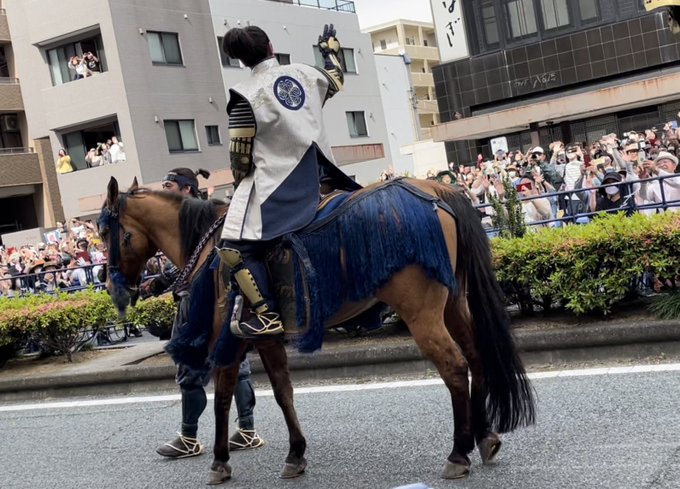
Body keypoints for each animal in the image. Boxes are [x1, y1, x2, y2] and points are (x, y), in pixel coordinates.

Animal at [98, 176, 535, 485]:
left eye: (103, 232)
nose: (111, 284)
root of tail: (434, 190)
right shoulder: (264, 337)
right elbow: (282, 393)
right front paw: (295, 453)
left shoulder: (231, 339)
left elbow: (222, 397)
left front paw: (221, 460)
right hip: (453, 304)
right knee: (476, 357)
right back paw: (484, 436)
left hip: (422, 313)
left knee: (455, 368)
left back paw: (459, 452)